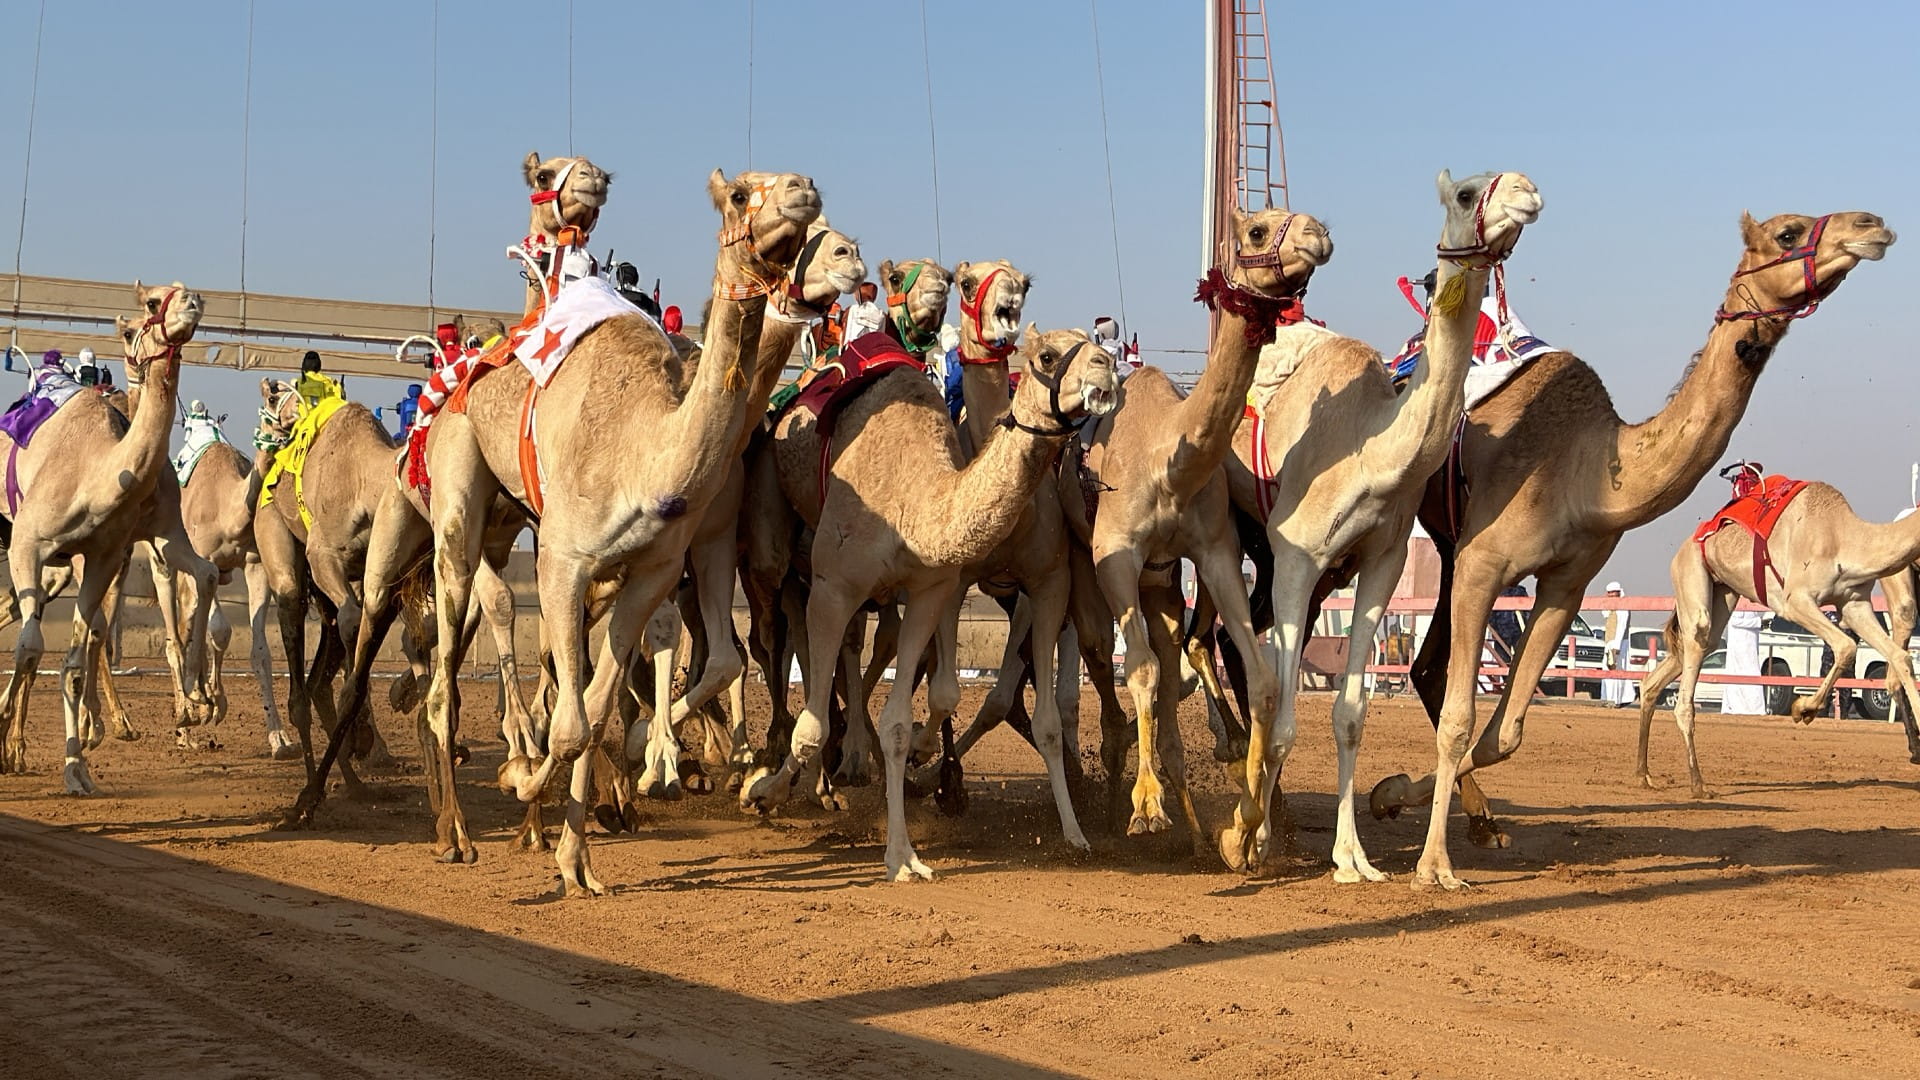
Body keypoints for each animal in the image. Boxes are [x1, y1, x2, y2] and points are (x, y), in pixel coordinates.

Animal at [0, 282, 217, 793]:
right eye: (151, 302)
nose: (193, 302)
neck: (95, 472)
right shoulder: (27, 544)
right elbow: (31, 647)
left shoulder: (114, 549)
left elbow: (76, 656)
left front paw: (77, 766)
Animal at [418, 168, 821, 893]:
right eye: (740, 195)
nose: (803, 189)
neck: (647, 450)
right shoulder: (563, 561)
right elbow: (571, 721)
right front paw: (521, 778)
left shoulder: (653, 572)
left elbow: (598, 708)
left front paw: (576, 860)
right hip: (460, 488)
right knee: (448, 668)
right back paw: (457, 832)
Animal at [741, 317, 1120, 881]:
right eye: (1048, 357)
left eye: (1095, 346)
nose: (1106, 365)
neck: (914, 500)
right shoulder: (834, 587)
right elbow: (813, 723)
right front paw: (766, 790)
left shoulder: (933, 589)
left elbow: (899, 722)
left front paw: (903, 856)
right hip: (774, 545)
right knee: (771, 641)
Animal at [1207, 171, 1543, 879]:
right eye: (1466, 193)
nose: (1526, 191)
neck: (1368, 450)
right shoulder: (1298, 556)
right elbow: (1287, 718)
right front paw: (1247, 839)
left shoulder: (1380, 562)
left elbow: (1350, 713)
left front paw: (1351, 858)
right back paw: (1252, 816)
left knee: (1237, 647)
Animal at [1636, 478, 1920, 795]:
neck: (1843, 537)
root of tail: (1684, 549)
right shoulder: (1795, 600)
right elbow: (1846, 646)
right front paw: (1803, 709)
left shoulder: (1854, 603)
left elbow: (1899, 656)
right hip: (1690, 572)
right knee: (1696, 645)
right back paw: (1698, 783)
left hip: (1723, 590)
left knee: (1669, 668)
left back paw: (1643, 774)